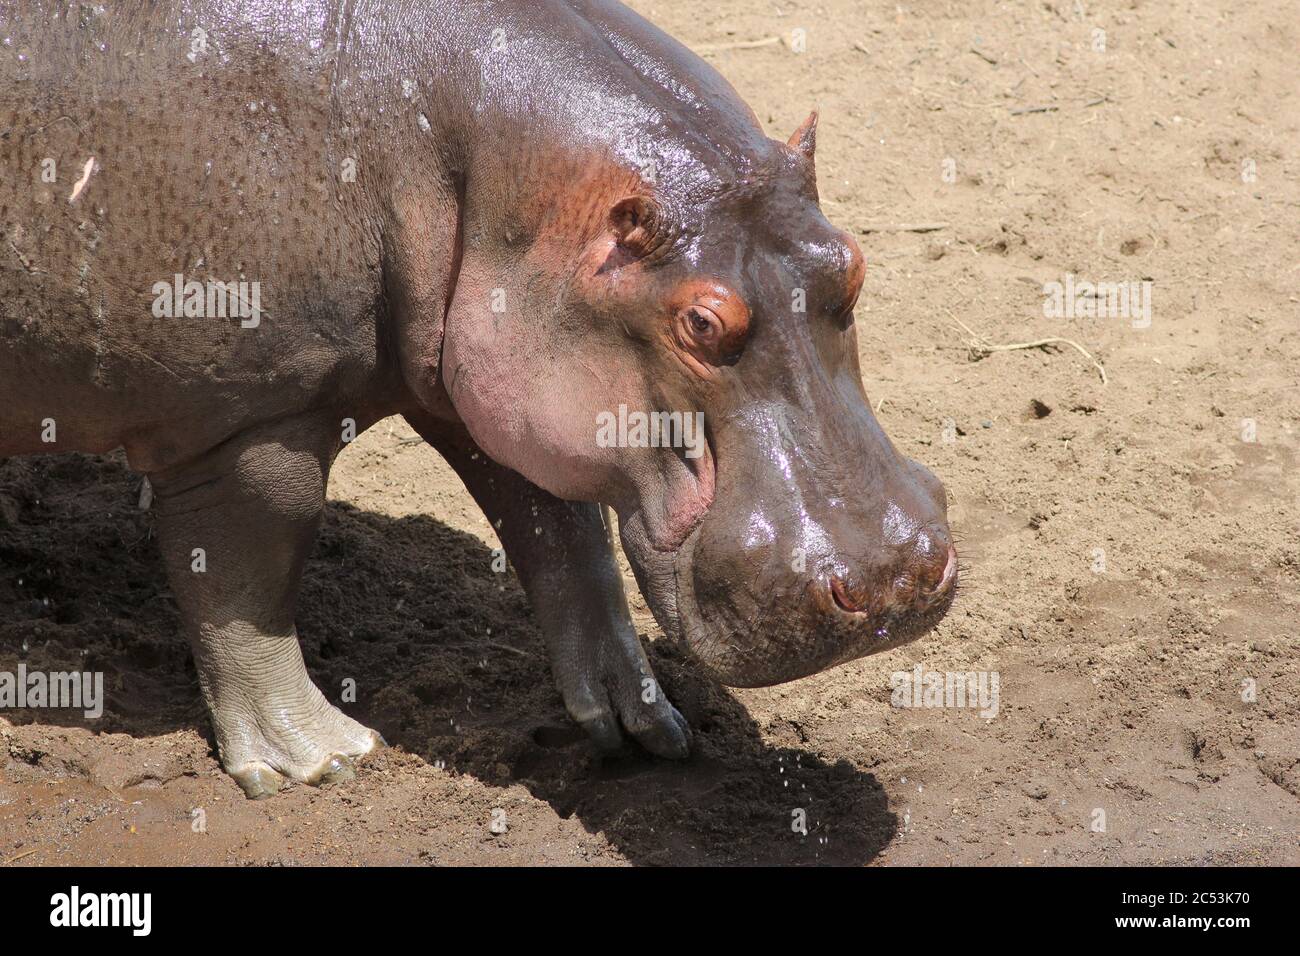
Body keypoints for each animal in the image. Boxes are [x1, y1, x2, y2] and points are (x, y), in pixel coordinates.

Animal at [0, 0, 956, 801]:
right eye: (700, 321)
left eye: (854, 263)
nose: (895, 578)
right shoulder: (250, 416)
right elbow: (250, 580)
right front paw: (323, 762)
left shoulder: (502, 384)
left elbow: (563, 539)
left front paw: (644, 724)